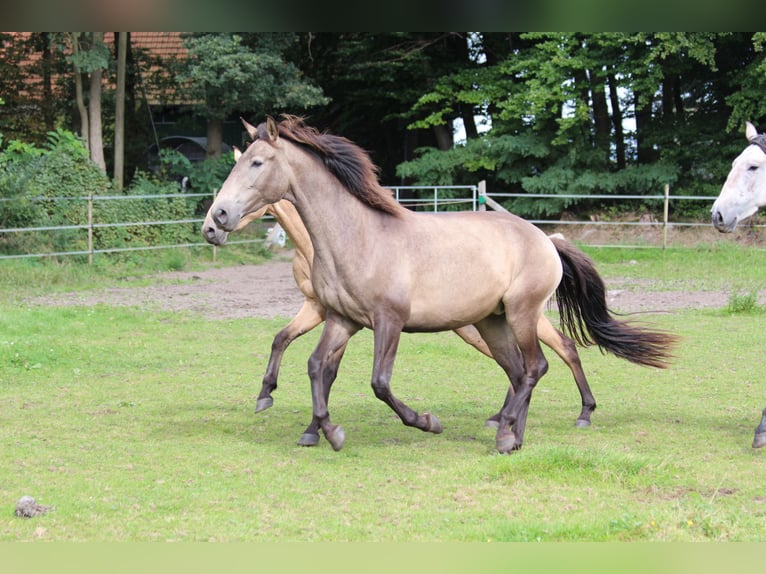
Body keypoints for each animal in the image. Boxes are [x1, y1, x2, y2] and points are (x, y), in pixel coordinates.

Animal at [208, 117, 680, 454]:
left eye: (256, 163)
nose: (217, 219)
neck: (358, 236)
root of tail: (546, 239)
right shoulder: (342, 319)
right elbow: (316, 367)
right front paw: (326, 431)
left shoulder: (389, 321)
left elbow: (379, 383)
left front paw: (427, 422)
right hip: (492, 322)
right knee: (520, 371)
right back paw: (512, 435)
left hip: (522, 313)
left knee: (538, 365)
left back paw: (514, 431)